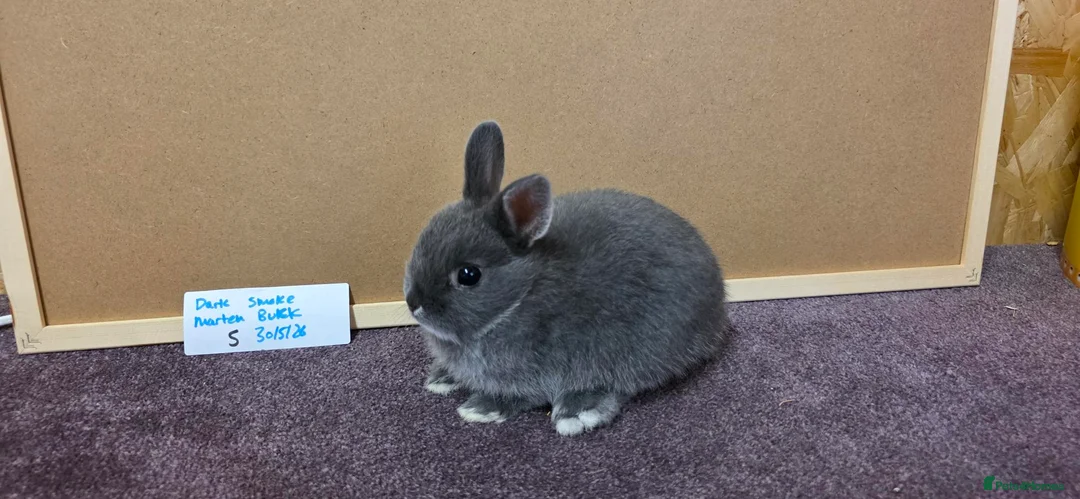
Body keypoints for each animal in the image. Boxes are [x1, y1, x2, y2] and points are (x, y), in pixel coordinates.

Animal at [403, 121, 732, 436]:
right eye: (421, 243)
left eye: (469, 275)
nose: (413, 303)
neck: (518, 298)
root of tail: (718, 302)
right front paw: (443, 377)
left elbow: (522, 395)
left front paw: (480, 408)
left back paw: (577, 411)